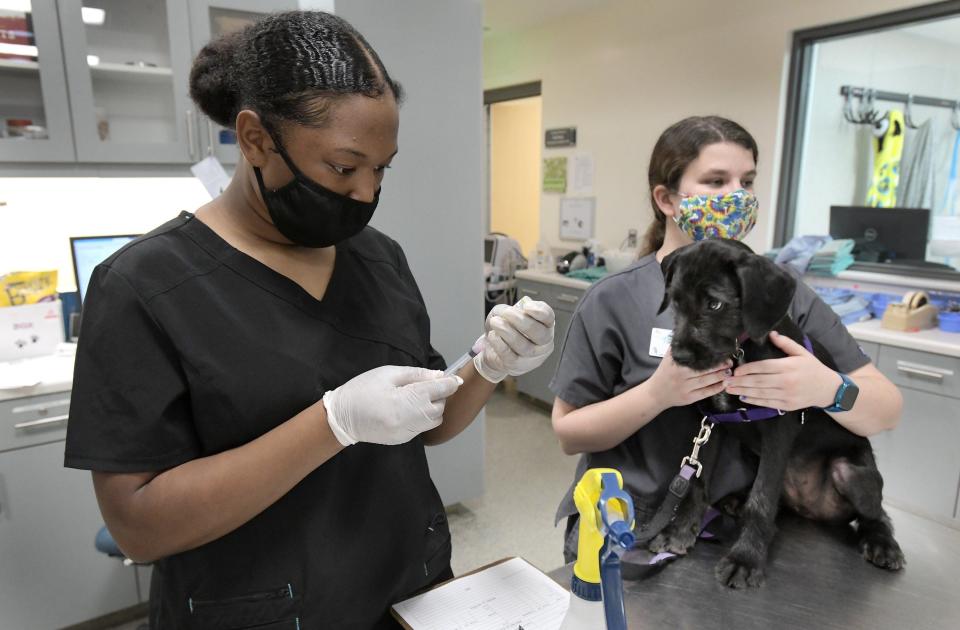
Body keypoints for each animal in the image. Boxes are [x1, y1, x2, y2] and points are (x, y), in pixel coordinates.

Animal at [656, 239, 904, 592]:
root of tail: (813, 508)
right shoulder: (713, 422)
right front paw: (678, 532)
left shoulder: (778, 430)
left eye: (714, 304)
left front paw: (745, 558)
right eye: (675, 301)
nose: (679, 357)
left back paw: (883, 544)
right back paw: (737, 500)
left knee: (877, 513)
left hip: (852, 474)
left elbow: (762, 500)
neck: (739, 354)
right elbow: (698, 482)